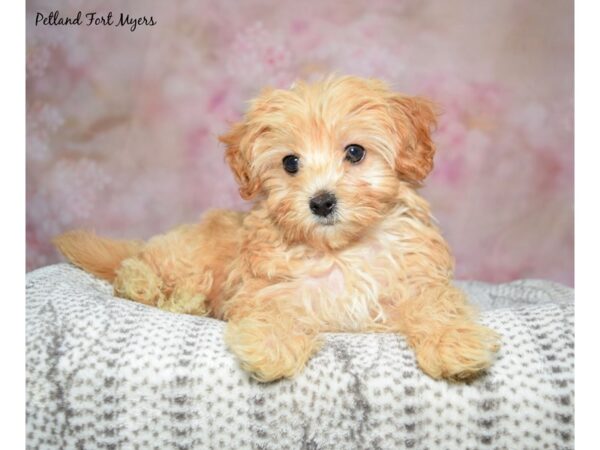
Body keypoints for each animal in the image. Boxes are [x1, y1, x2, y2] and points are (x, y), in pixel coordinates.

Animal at [56, 75, 500, 382]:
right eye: (290, 162)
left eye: (355, 152)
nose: (321, 202)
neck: (341, 251)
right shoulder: (266, 287)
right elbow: (271, 309)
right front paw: (272, 347)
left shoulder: (418, 279)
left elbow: (436, 306)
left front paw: (454, 344)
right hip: (188, 257)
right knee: (136, 266)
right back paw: (156, 291)